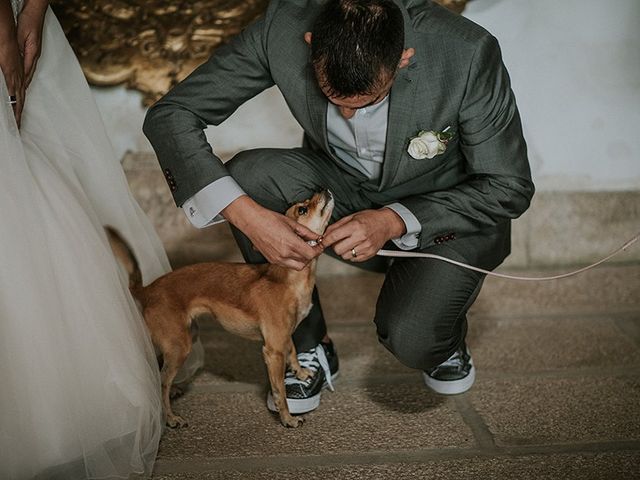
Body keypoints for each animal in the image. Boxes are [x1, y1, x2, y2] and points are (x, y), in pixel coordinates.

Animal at [107, 191, 332, 428]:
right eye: (302, 209)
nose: (323, 189)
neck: (290, 278)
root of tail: (148, 289)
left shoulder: (284, 337)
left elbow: (294, 352)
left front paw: (300, 372)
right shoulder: (273, 350)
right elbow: (279, 391)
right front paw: (288, 419)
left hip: (180, 338)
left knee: (161, 371)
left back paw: (174, 391)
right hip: (179, 345)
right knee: (162, 382)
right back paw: (170, 417)